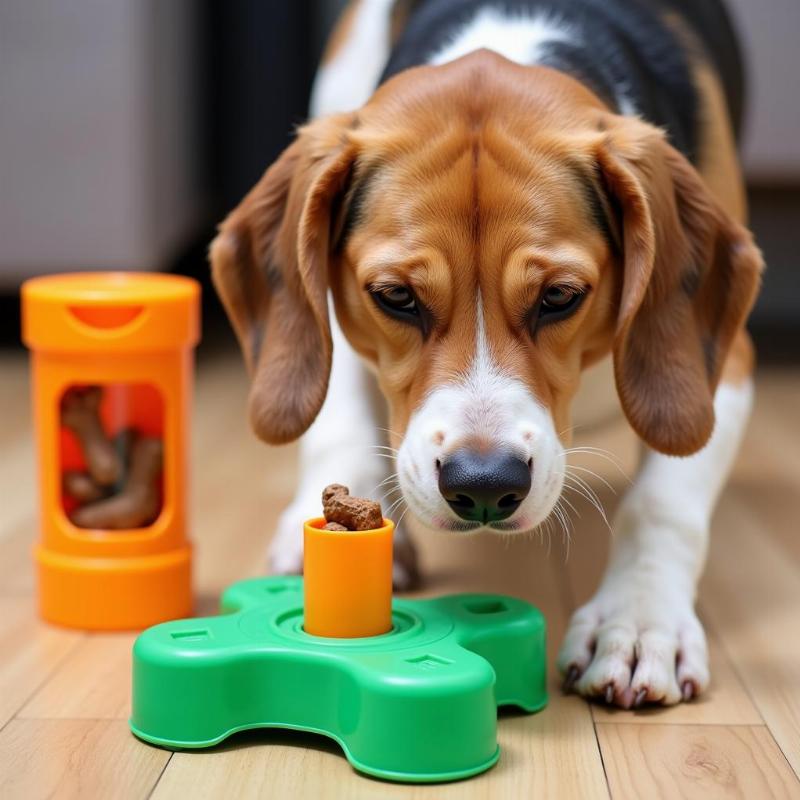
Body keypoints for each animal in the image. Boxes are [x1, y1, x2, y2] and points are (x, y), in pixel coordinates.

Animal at [211, 0, 764, 708]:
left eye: (560, 296)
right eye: (395, 296)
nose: (482, 487)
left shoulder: (723, 364)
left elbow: (664, 500)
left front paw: (639, 621)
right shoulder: (328, 317)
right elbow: (339, 426)